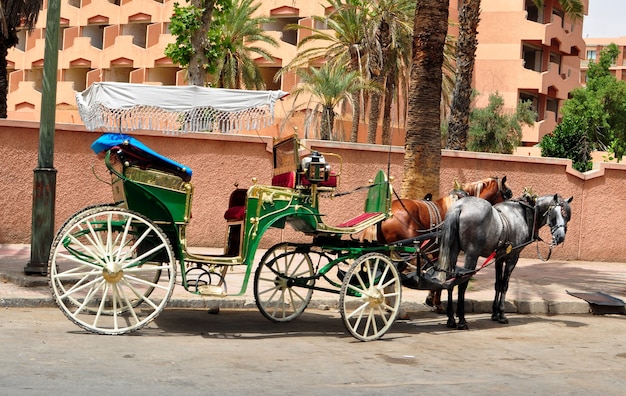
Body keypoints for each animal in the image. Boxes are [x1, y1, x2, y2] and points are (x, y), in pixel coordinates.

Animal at [372, 177, 510, 312]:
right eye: (508, 193)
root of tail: (386, 214)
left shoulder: (436, 252)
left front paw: (430, 299)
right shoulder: (445, 250)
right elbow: (443, 273)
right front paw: (437, 302)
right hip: (402, 252)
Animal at [436, 193, 568, 330]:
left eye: (567, 216)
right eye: (555, 214)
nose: (560, 237)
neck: (524, 213)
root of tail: (460, 207)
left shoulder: (499, 258)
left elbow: (498, 284)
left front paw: (495, 313)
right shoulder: (513, 257)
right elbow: (504, 285)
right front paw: (502, 315)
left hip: (453, 251)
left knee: (450, 280)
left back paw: (451, 319)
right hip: (471, 254)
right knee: (462, 283)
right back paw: (462, 320)